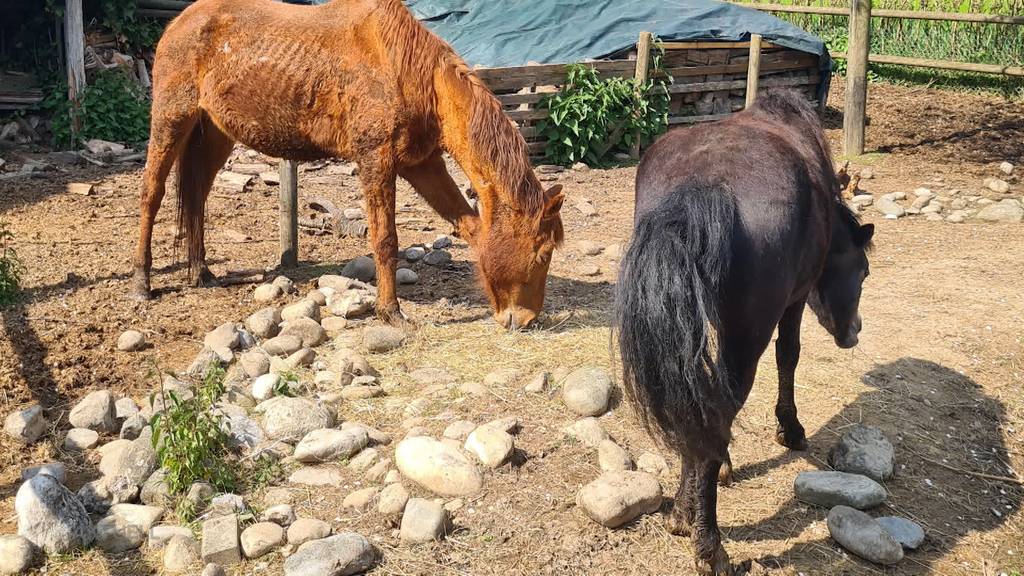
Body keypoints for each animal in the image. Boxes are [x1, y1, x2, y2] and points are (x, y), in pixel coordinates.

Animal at [132, 0, 565, 325]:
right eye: (542, 253)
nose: (525, 320)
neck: (409, 73)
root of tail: (179, 22)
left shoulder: (422, 164)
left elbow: (470, 226)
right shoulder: (377, 161)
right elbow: (386, 240)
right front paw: (390, 311)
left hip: (216, 134)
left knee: (197, 197)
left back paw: (200, 272)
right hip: (171, 120)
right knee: (152, 195)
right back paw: (142, 281)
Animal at [614, 89, 872, 569]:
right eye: (863, 272)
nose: (854, 333)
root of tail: (699, 190)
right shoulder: (794, 300)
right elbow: (789, 356)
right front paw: (791, 430)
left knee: (699, 413)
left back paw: (684, 511)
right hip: (747, 340)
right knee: (718, 412)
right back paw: (707, 543)